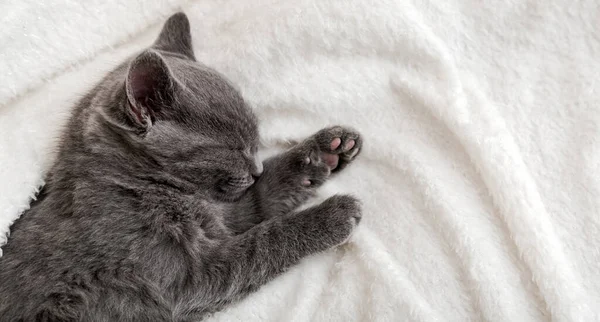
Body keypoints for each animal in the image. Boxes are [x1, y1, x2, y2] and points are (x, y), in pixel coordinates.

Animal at [0, 12, 364, 322]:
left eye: (254, 143)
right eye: (235, 148)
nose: (255, 169)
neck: (133, 183)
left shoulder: (221, 215)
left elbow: (265, 196)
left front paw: (326, 151)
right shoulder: (189, 277)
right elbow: (263, 241)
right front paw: (332, 215)